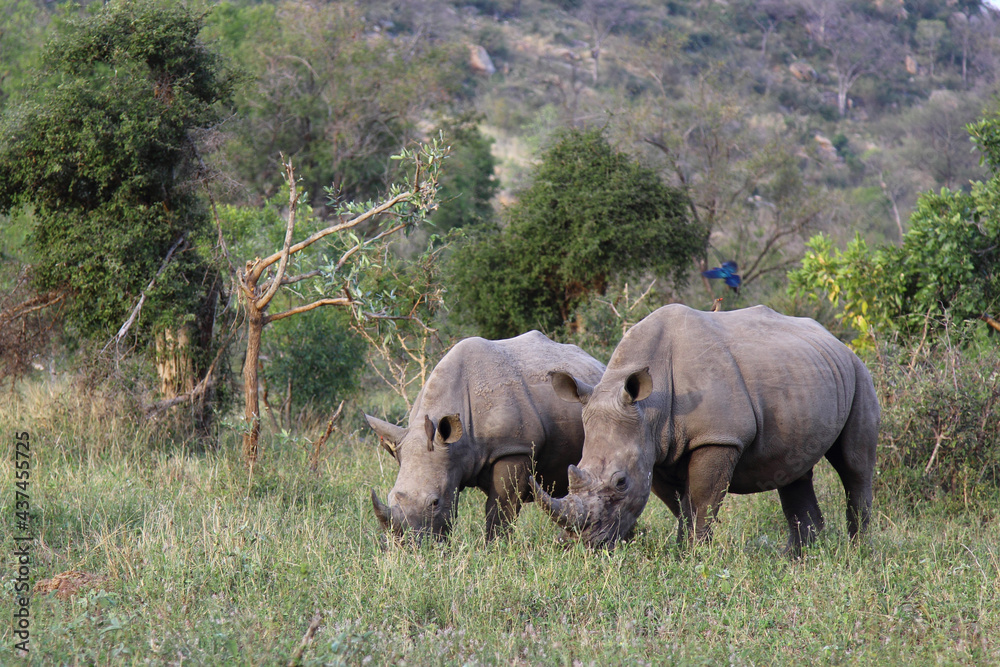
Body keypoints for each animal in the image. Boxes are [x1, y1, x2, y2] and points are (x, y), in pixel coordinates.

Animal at [366, 331, 606, 542]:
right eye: (390, 497)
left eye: (434, 503)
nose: (408, 547)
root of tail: (597, 363)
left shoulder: (513, 448)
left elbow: (500, 507)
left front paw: (496, 548)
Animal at [532, 304, 880, 555]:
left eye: (621, 482)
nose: (584, 544)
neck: (649, 409)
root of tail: (836, 339)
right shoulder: (656, 447)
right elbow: (679, 503)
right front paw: (684, 550)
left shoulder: (718, 438)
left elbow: (701, 499)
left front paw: (694, 555)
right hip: (804, 375)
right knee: (793, 469)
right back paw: (800, 557)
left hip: (859, 372)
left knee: (854, 465)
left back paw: (857, 551)